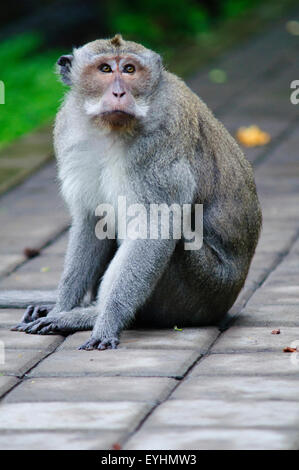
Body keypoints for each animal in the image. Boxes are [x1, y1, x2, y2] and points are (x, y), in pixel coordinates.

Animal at [13, 34, 262, 348]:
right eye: (105, 69)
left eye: (130, 69)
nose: (120, 93)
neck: (111, 128)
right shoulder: (69, 130)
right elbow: (93, 220)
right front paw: (61, 306)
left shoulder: (159, 142)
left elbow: (157, 226)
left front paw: (103, 321)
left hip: (204, 291)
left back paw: (90, 315)